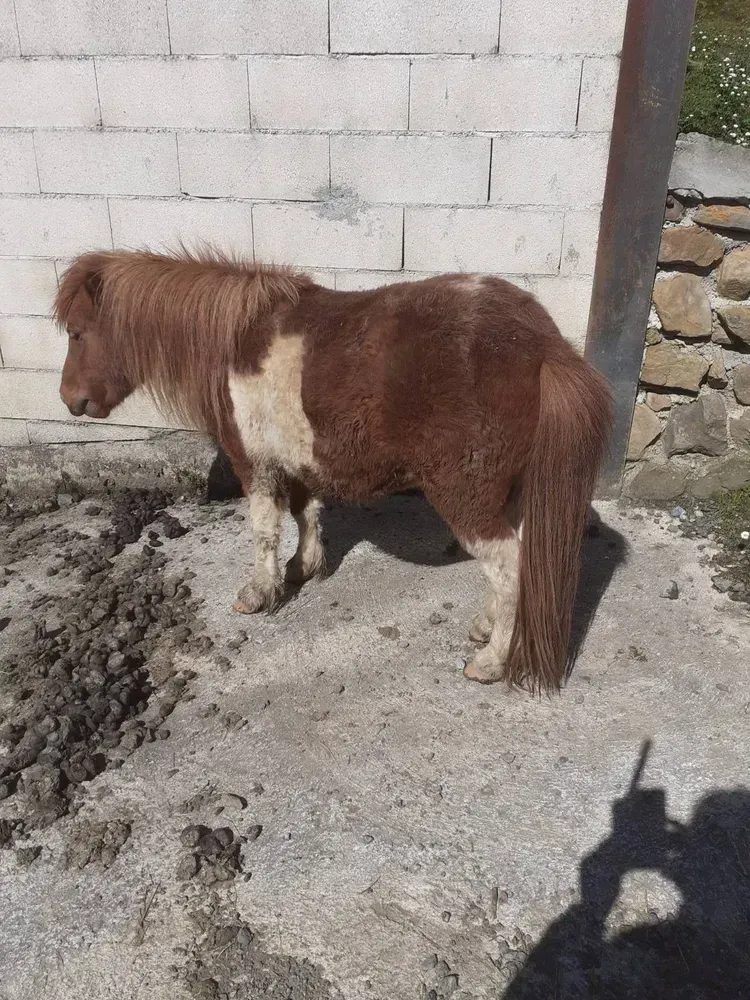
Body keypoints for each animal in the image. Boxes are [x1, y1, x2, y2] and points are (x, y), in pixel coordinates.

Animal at [54, 248, 611, 694]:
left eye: (78, 333)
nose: (70, 400)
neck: (237, 341)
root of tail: (543, 346)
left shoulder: (256, 464)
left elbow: (264, 529)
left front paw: (261, 592)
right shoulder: (297, 458)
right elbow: (307, 512)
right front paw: (304, 566)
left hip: (468, 498)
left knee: (508, 566)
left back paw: (491, 662)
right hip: (508, 493)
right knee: (513, 562)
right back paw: (486, 627)